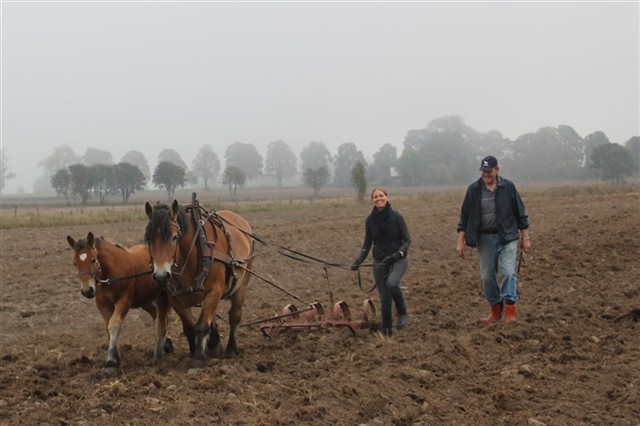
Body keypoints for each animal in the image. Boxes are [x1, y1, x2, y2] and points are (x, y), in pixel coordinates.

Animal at [67, 233, 172, 372]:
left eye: (93, 260)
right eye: (74, 263)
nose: (87, 291)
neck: (109, 275)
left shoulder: (124, 301)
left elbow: (114, 325)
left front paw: (111, 362)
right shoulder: (103, 305)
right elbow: (108, 328)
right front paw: (116, 358)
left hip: (159, 296)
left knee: (161, 318)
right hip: (143, 300)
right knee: (156, 315)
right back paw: (167, 344)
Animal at [145, 197, 255, 370]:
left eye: (174, 237)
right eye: (149, 239)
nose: (161, 276)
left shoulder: (214, 292)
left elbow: (202, 325)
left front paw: (198, 360)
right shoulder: (176, 299)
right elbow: (189, 328)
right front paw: (193, 352)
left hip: (242, 284)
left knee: (234, 316)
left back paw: (231, 350)